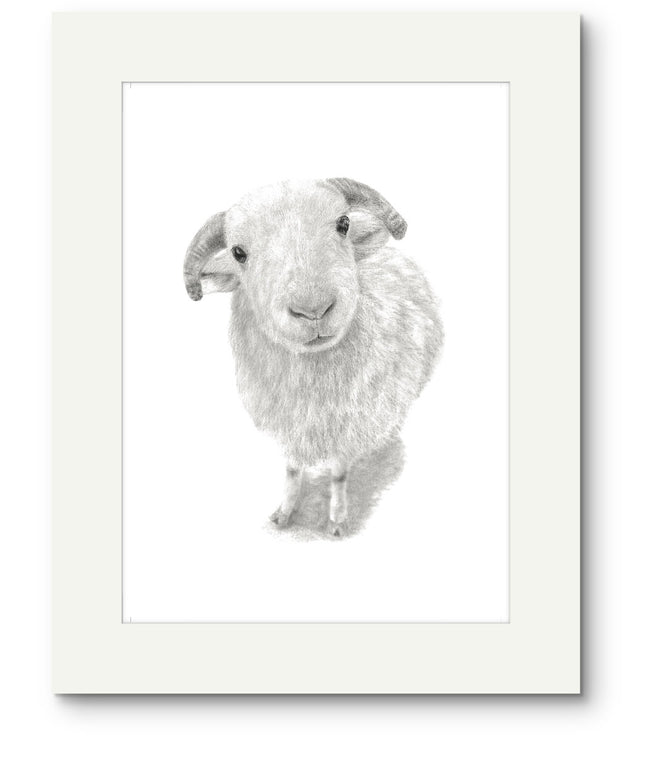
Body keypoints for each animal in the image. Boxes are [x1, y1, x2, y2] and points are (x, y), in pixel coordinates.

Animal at [184, 178, 443, 538]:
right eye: (238, 253)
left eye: (343, 224)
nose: (314, 310)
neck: (312, 385)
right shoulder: (291, 425)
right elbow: (293, 472)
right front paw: (284, 513)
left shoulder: (348, 425)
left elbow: (339, 474)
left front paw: (336, 520)